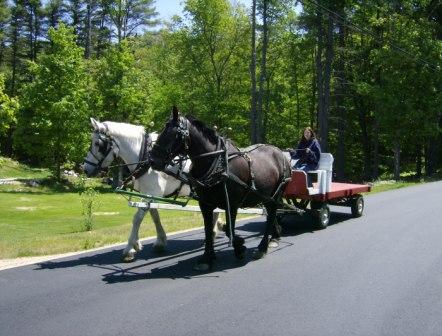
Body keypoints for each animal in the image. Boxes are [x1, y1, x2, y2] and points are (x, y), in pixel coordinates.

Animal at [82, 118, 223, 262]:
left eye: (98, 143)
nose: (85, 169)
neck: (144, 157)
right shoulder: (149, 194)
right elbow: (154, 215)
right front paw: (156, 241)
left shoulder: (151, 194)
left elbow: (137, 218)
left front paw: (129, 249)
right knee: (215, 211)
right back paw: (213, 232)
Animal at [150, 107, 292, 270]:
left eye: (174, 134)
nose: (152, 160)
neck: (217, 162)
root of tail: (280, 152)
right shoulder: (205, 204)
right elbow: (208, 230)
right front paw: (207, 258)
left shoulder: (232, 204)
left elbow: (229, 229)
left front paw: (239, 247)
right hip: (266, 196)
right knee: (271, 215)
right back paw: (275, 236)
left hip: (275, 195)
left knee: (271, 214)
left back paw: (263, 247)